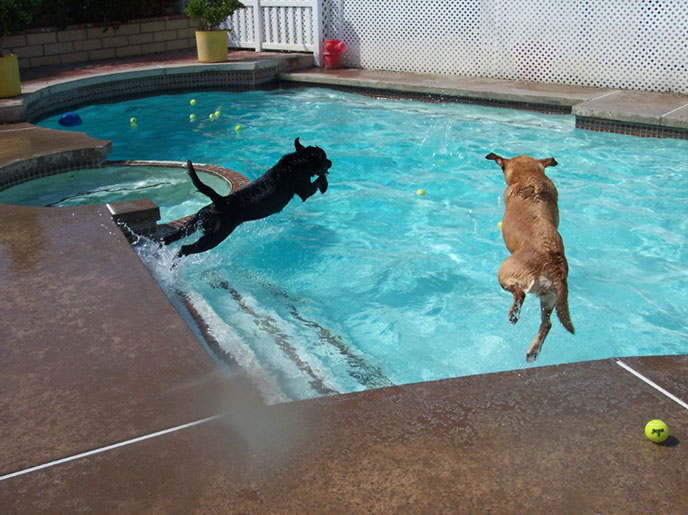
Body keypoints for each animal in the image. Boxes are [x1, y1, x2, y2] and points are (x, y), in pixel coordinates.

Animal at [163, 138, 331, 258]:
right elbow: (320, 179)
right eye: (324, 157)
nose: (331, 162)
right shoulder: (304, 188)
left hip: (194, 222)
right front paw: (324, 186)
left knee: (171, 237)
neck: (299, 159)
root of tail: (220, 201)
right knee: (185, 248)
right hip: (215, 235)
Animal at [485, 153, 574, 362]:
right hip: (549, 299)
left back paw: (513, 314)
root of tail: (551, 260)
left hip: (504, 272)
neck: (529, 177)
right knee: (547, 324)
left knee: (519, 294)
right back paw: (533, 351)